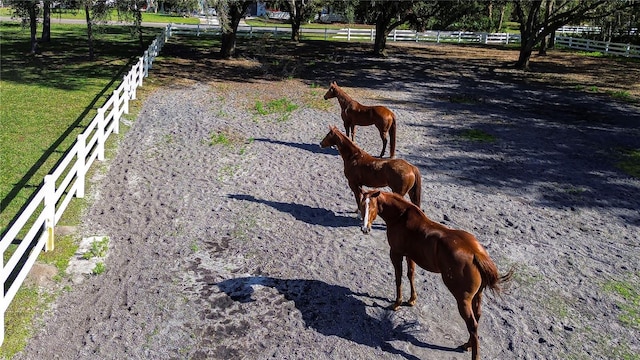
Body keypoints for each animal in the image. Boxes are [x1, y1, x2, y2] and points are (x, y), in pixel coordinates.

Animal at [360, 188, 516, 360]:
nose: (364, 229)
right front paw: (412, 299)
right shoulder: (410, 255)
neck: (400, 217)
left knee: (472, 325)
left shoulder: (396, 253)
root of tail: (476, 253)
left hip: (463, 300)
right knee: (477, 317)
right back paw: (467, 344)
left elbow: (398, 277)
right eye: (361, 205)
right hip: (478, 295)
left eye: (372, 207)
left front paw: (397, 303)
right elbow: (410, 274)